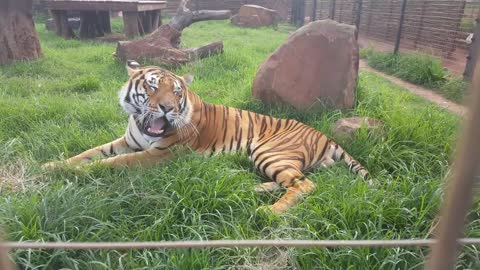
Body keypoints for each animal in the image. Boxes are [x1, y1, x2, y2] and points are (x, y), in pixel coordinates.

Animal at [43, 60, 370, 213]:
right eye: (152, 86)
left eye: (176, 92)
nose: (167, 108)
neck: (142, 124)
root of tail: (324, 135)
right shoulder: (127, 142)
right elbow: (88, 153)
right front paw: (52, 165)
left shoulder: (159, 155)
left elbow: (111, 164)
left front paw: (69, 173)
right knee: (291, 181)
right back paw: (250, 188)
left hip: (269, 152)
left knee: (304, 184)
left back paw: (270, 212)